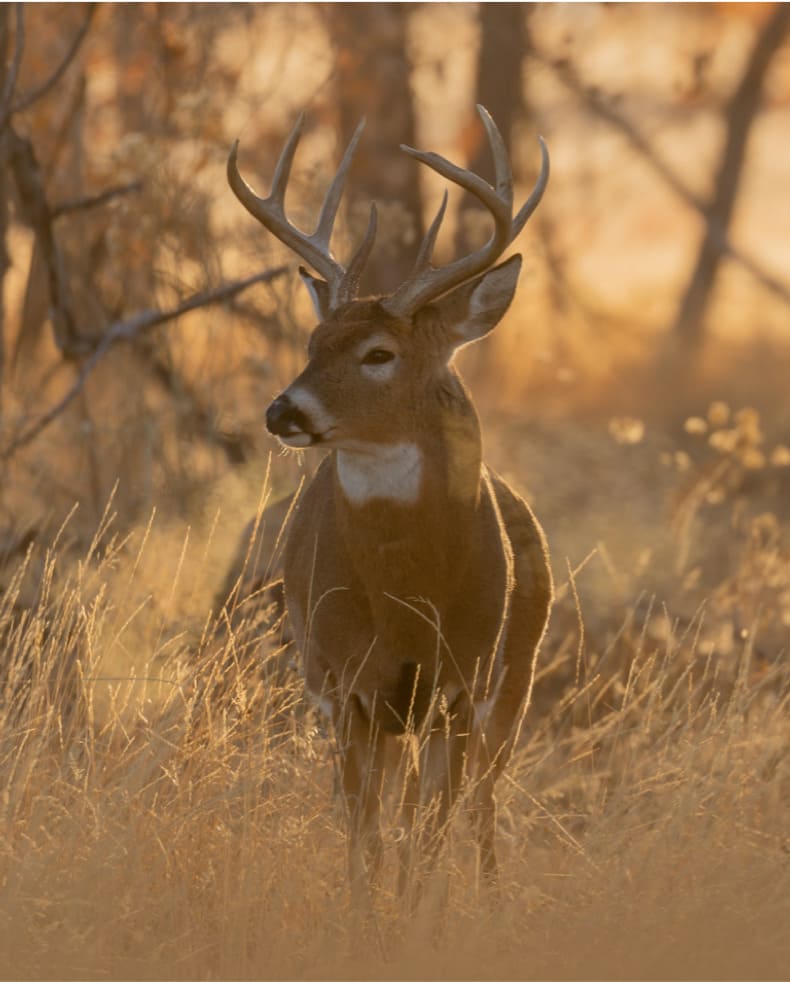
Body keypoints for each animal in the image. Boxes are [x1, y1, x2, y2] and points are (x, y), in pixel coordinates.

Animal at [227, 106, 553, 903]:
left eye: (379, 353)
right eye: (313, 340)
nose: (283, 410)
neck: (407, 599)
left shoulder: (462, 685)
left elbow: (426, 841)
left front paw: (417, 917)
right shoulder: (344, 685)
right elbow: (367, 840)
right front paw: (367, 918)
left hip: (516, 682)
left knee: (481, 807)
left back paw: (491, 899)